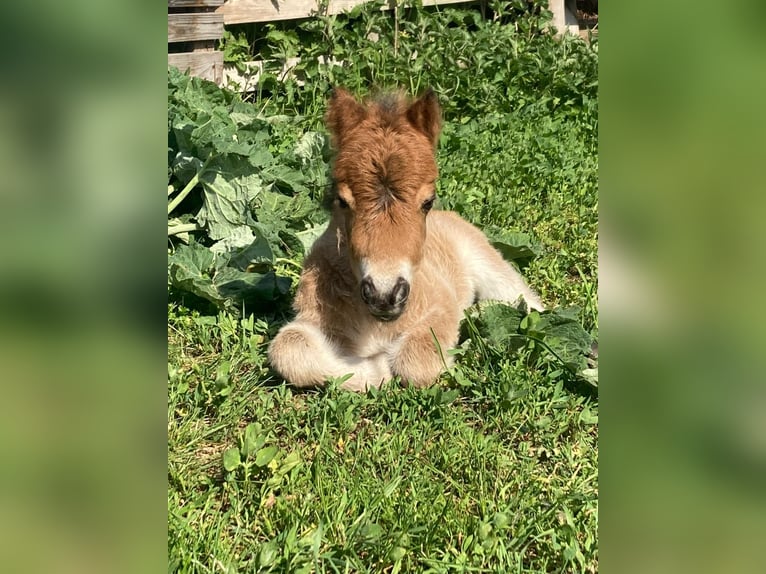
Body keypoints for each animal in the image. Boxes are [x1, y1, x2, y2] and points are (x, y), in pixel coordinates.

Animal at [268, 88, 544, 391]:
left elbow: (417, 360)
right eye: (342, 201)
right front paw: (373, 370)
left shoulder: (441, 305)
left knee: (529, 305)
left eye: (427, 201)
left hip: (491, 266)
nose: (384, 295)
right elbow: (289, 348)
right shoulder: (309, 317)